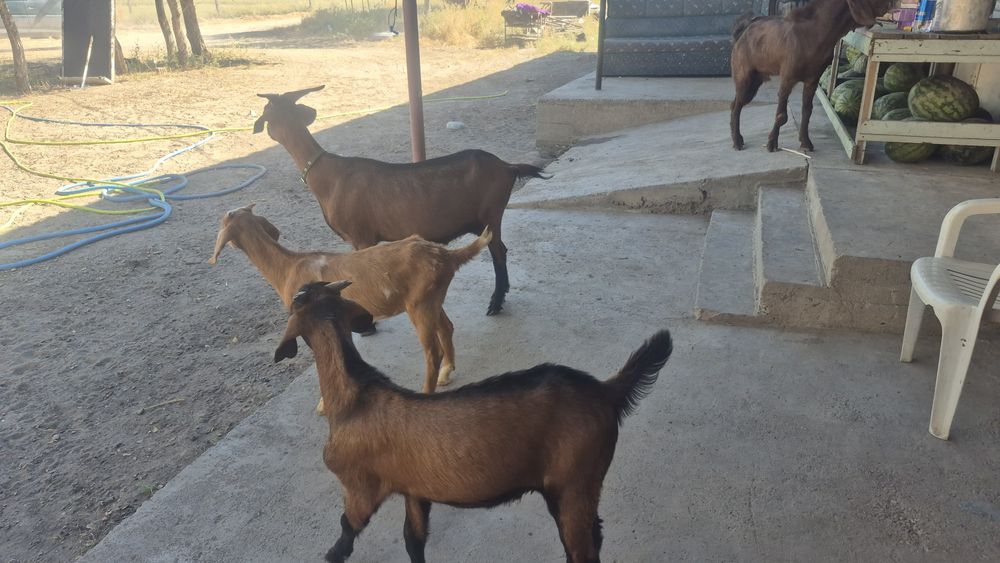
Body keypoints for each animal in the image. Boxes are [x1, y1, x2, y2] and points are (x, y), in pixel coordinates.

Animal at [209, 204, 490, 409]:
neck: (287, 268)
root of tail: (447, 256)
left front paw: (324, 405)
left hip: (420, 305)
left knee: (432, 351)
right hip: (431, 299)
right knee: (447, 328)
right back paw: (446, 373)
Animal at [253, 86, 549, 317]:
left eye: (266, 110)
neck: (327, 176)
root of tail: (508, 167)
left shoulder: (361, 236)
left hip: (491, 214)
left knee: (498, 253)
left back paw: (495, 304)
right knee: (502, 249)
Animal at [274, 280, 673, 563]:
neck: (355, 396)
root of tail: (605, 391)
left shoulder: (360, 487)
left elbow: (346, 532)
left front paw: (331, 554)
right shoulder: (414, 490)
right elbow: (413, 540)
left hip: (574, 481)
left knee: (582, 549)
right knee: (595, 535)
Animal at [729, 0, 893, 152]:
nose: (892, 4)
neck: (815, 34)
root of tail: (743, 30)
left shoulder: (812, 81)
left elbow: (807, 111)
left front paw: (805, 142)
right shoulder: (787, 78)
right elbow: (781, 115)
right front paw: (772, 143)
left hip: (756, 80)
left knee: (737, 103)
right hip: (745, 77)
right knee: (736, 105)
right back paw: (736, 140)